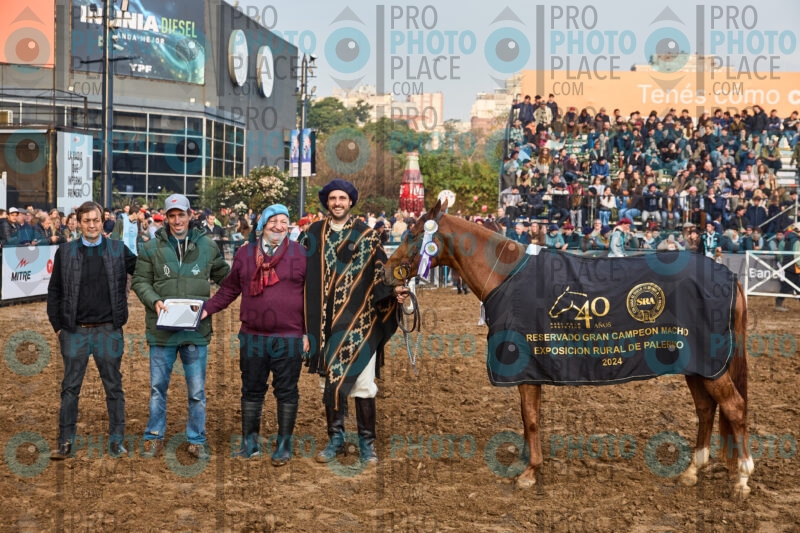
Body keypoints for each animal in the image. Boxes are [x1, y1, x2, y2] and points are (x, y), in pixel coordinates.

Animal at [381, 199, 753, 499]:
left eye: (414, 234)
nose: (385, 271)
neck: (505, 277)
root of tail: (728, 277)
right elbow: (530, 418)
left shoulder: (524, 367)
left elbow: (531, 419)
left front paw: (530, 473)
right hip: (697, 364)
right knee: (706, 409)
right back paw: (692, 470)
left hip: (710, 366)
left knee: (734, 408)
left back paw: (742, 478)